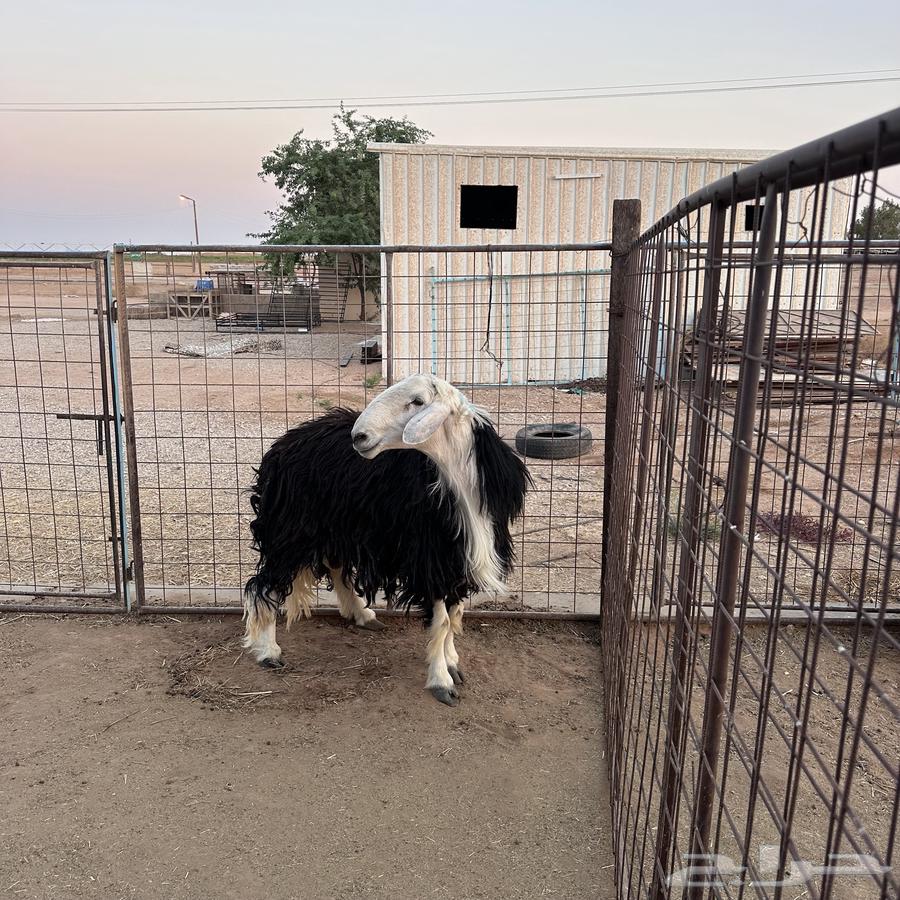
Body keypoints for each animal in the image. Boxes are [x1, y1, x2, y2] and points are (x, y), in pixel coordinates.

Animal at [242, 373, 532, 705]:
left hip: (336, 526)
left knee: (336, 568)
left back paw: (362, 615)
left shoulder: (458, 557)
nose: (359, 437)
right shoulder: (429, 557)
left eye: (418, 401)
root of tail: (283, 445)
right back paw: (268, 652)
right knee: (263, 584)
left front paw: (452, 663)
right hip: (291, 530)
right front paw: (441, 681)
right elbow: (443, 621)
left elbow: (455, 613)